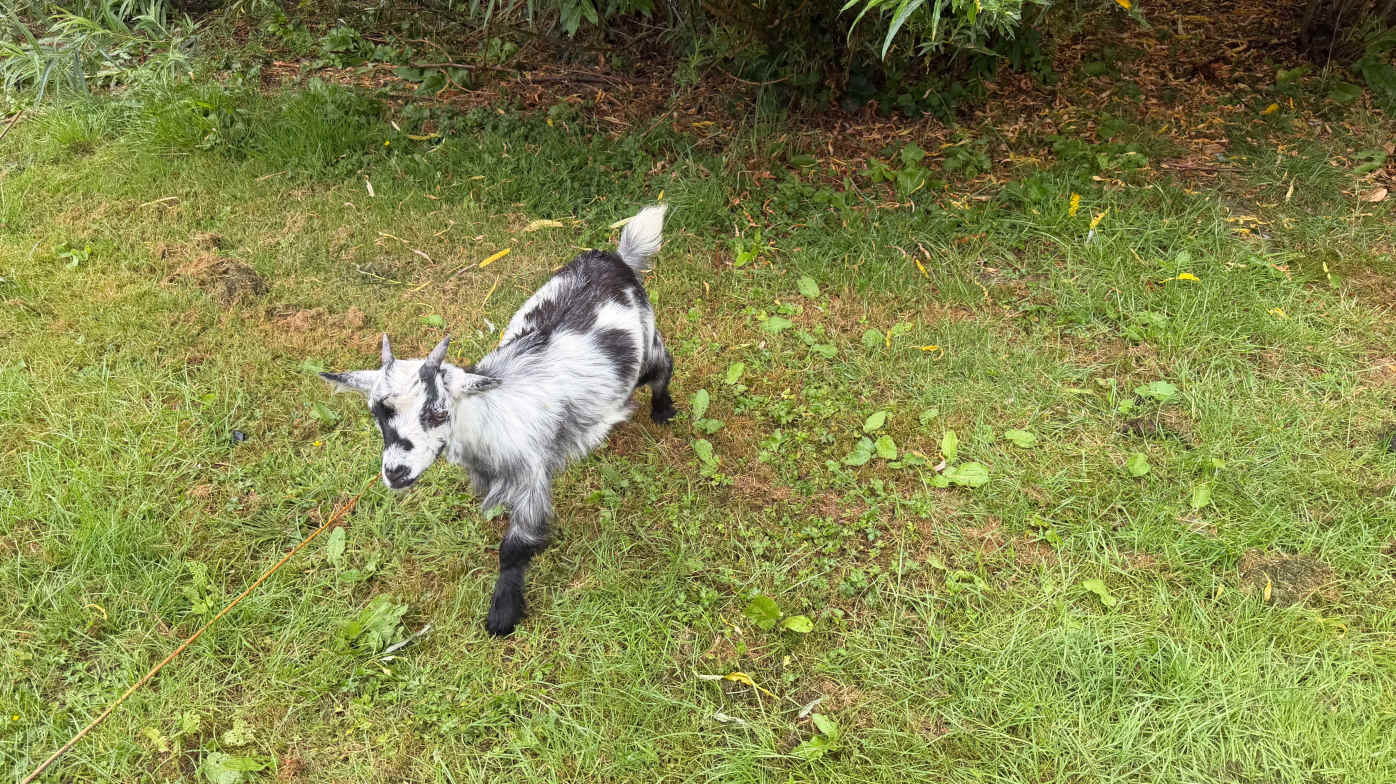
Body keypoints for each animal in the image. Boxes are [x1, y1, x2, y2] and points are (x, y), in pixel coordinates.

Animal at [320, 205, 675, 636]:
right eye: (377, 414)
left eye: (437, 412)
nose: (395, 473)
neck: (486, 415)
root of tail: (618, 259)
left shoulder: (531, 475)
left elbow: (515, 548)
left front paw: (503, 613)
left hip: (646, 343)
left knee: (663, 365)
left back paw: (663, 409)